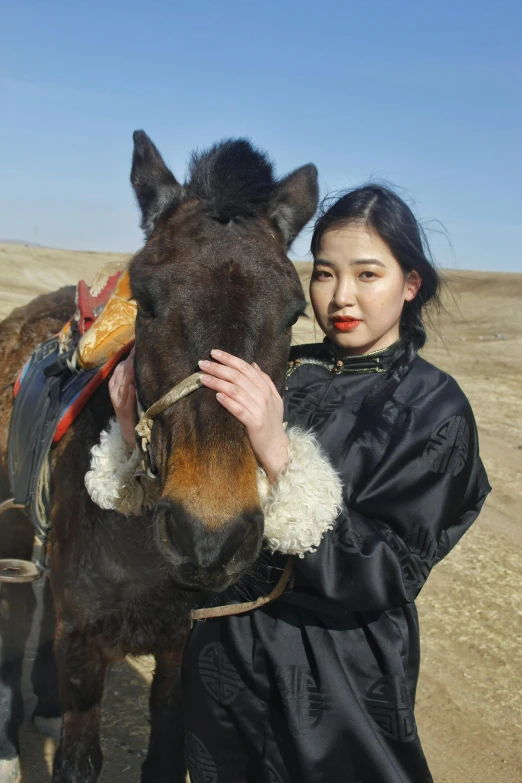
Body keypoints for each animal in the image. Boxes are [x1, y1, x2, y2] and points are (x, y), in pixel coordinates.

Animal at [0, 133, 316, 783]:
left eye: (293, 314)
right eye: (144, 301)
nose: (209, 537)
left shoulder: (177, 649)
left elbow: (167, 755)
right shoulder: (84, 646)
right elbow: (78, 760)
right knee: (18, 610)